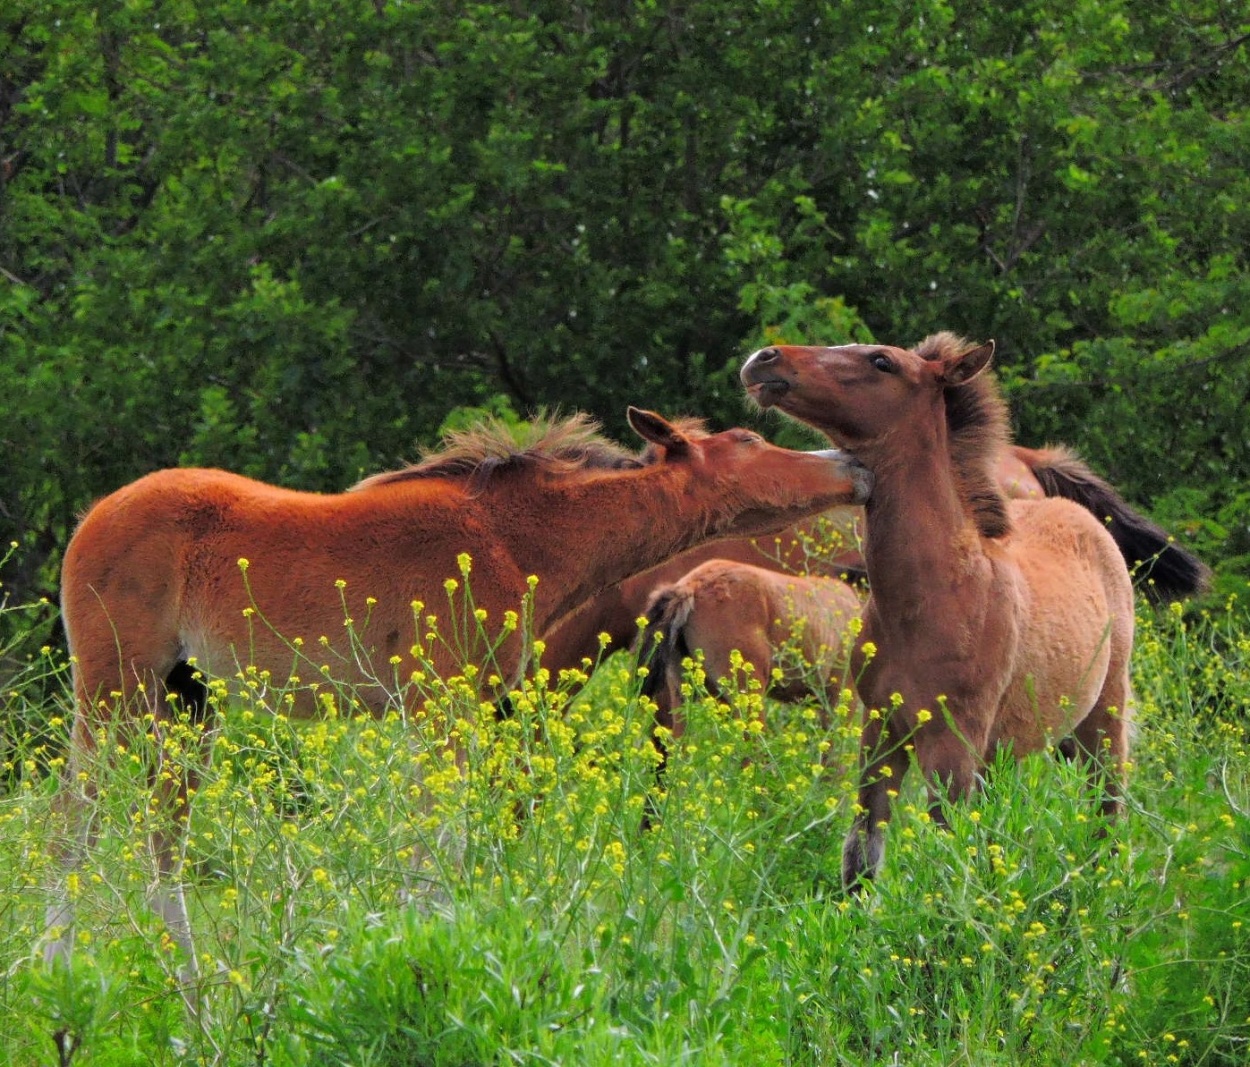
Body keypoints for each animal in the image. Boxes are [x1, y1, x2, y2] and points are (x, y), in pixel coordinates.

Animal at [46, 404, 870, 974]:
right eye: (750, 441)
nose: (851, 462)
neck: (512, 536)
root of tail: (91, 518)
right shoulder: (440, 705)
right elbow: (435, 849)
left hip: (191, 701)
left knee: (162, 839)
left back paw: (196, 985)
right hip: (112, 691)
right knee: (72, 825)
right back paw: (54, 970)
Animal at [740, 337, 1145, 894]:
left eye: (882, 361)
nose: (765, 360)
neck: (935, 597)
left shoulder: (953, 743)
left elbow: (948, 850)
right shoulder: (882, 729)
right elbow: (862, 849)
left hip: (1103, 720)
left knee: (1108, 813)